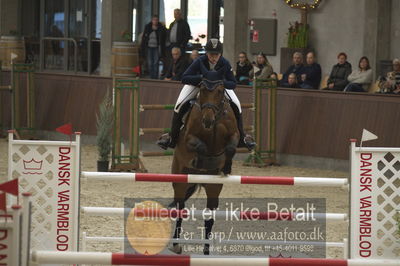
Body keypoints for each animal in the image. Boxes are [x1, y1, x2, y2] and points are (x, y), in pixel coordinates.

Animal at [170, 78, 239, 256]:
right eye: (201, 88)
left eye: (220, 91)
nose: (207, 121)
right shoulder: (189, 137)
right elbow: (200, 146)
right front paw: (200, 161)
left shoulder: (234, 135)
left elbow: (230, 147)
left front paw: (226, 167)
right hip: (180, 180)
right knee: (180, 208)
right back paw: (176, 244)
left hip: (214, 187)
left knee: (210, 216)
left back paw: (206, 251)